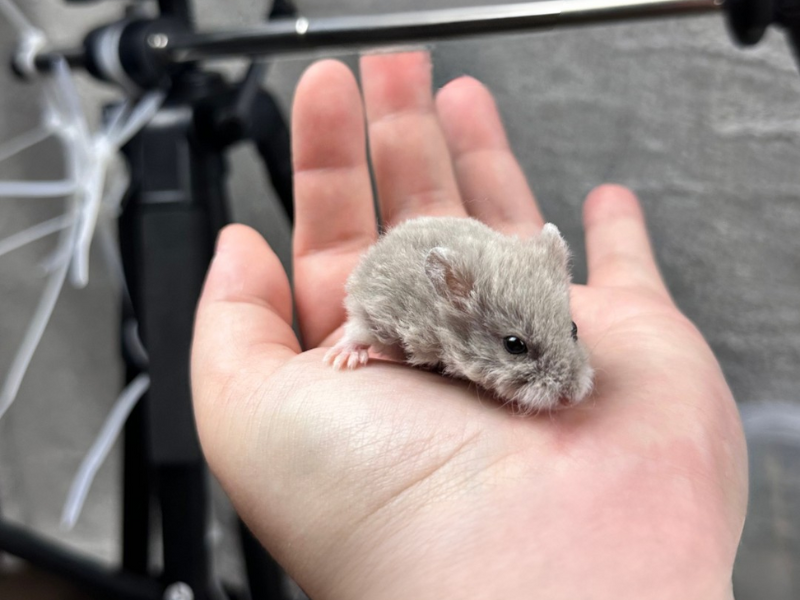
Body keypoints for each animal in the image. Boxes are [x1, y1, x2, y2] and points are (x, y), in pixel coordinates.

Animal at [323, 216, 594, 412]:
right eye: (514, 344)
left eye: (574, 328)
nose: (571, 399)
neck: (443, 327)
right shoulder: (377, 311)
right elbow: (357, 332)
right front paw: (341, 361)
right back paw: (343, 359)